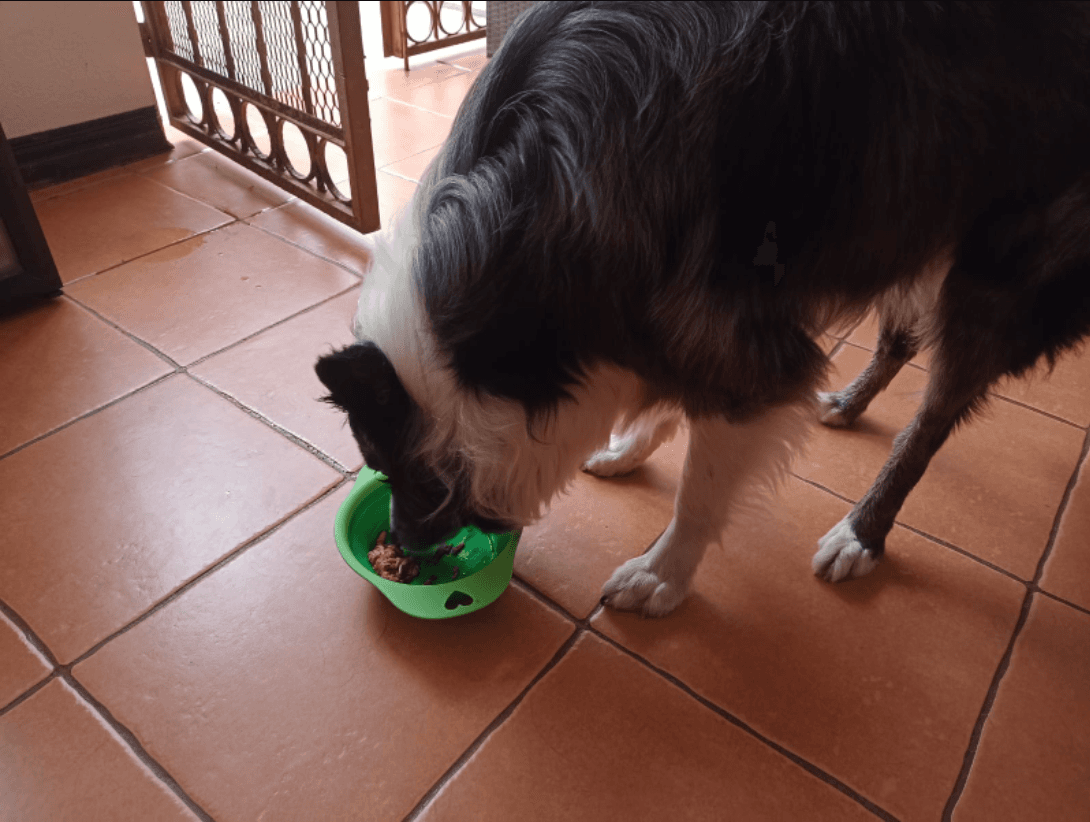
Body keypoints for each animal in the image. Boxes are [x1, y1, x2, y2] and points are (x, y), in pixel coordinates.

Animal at [318, 1, 1090, 614]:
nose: (404, 545)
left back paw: (861, 534)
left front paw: (661, 575)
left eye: (403, 471)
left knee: (932, 420)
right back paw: (850, 403)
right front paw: (631, 445)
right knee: (900, 338)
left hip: (999, 267)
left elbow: (701, 487)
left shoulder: (735, 335)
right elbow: (668, 396)